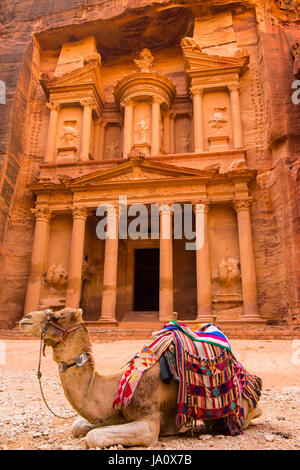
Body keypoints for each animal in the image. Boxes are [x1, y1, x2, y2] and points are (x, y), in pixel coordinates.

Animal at [19, 308, 262, 448]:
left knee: (251, 412)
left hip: (237, 409)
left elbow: (94, 437)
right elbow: (79, 427)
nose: (25, 319)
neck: (115, 385)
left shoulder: (148, 422)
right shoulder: (111, 413)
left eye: (57, 316)